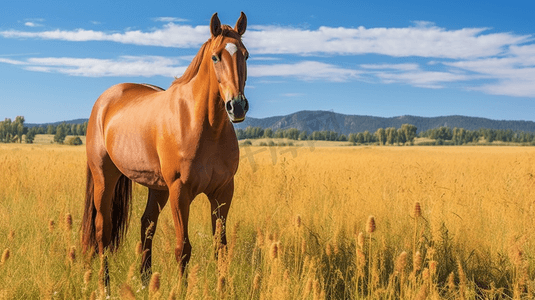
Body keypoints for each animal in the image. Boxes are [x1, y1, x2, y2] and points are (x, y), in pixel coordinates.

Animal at [82, 11, 250, 284]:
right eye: (215, 57)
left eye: (245, 55)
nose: (237, 106)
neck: (204, 125)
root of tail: (104, 101)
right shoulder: (180, 192)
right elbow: (183, 249)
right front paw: (181, 288)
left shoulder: (223, 192)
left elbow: (220, 248)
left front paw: (223, 288)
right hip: (104, 178)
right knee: (102, 231)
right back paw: (104, 285)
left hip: (157, 187)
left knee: (146, 224)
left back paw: (144, 282)